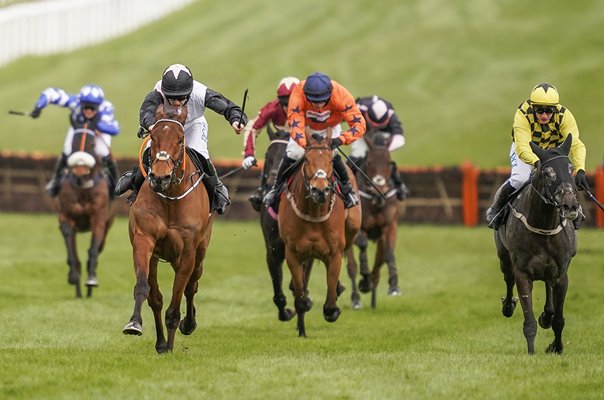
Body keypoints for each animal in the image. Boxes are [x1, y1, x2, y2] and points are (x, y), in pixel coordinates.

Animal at [53, 126, 115, 298]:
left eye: (91, 144)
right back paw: (79, 291)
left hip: (108, 225)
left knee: (97, 249)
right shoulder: (66, 217)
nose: (80, 170)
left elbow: (93, 251)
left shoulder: (98, 219)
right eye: (74, 143)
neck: (83, 187)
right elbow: (72, 253)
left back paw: (88, 289)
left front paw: (91, 280)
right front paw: (73, 276)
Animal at [121, 104, 215, 354]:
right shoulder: (144, 241)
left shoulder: (188, 251)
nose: (160, 177)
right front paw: (135, 325)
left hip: (200, 251)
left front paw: (173, 340)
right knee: (159, 297)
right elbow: (146, 290)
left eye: (180, 139)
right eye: (153, 136)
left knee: (192, 284)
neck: (171, 199)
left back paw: (188, 324)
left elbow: (177, 300)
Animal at [278, 128, 358, 338]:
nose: (319, 190)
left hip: (353, 226)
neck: (314, 211)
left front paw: (334, 306)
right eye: (306, 159)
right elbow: (300, 297)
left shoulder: (334, 253)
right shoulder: (293, 253)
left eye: (330, 160)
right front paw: (303, 313)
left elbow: (330, 305)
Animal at [344, 131, 402, 310]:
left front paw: (393, 285)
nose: (379, 189)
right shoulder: (359, 229)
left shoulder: (389, 226)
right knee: (351, 267)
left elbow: (387, 254)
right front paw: (364, 279)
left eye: (389, 163)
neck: (375, 202)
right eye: (369, 161)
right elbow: (362, 246)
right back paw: (356, 298)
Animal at [496, 136, 580, 354]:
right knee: (508, 278)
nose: (570, 205)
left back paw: (546, 316)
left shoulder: (561, 275)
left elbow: (559, 320)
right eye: (548, 173)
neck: (544, 227)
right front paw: (531, 352)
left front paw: (556, 347)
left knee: (549, 289)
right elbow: (529, 321)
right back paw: (508, 306)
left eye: (570, 168)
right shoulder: (523, 273)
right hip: (504, 257)